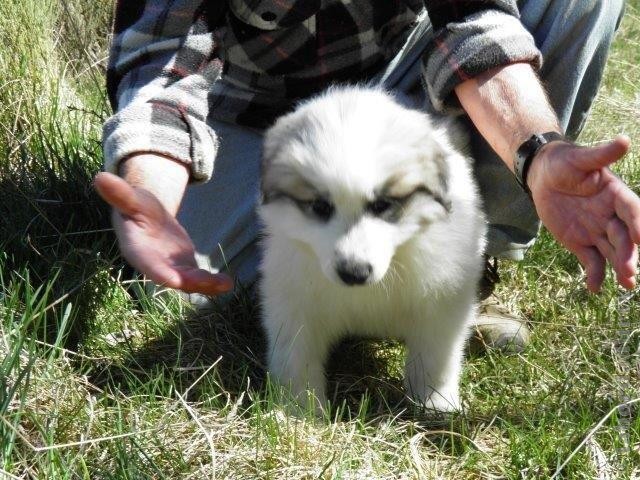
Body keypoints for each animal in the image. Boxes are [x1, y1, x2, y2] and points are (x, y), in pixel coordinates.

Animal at [258, 87, 488, 412]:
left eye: (381, 205)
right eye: (320, 207)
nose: (354, 272)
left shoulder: (442, 302)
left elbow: (436, 355)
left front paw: (436, 402)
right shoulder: (292, 302)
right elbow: (295, 357)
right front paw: (299, 411)